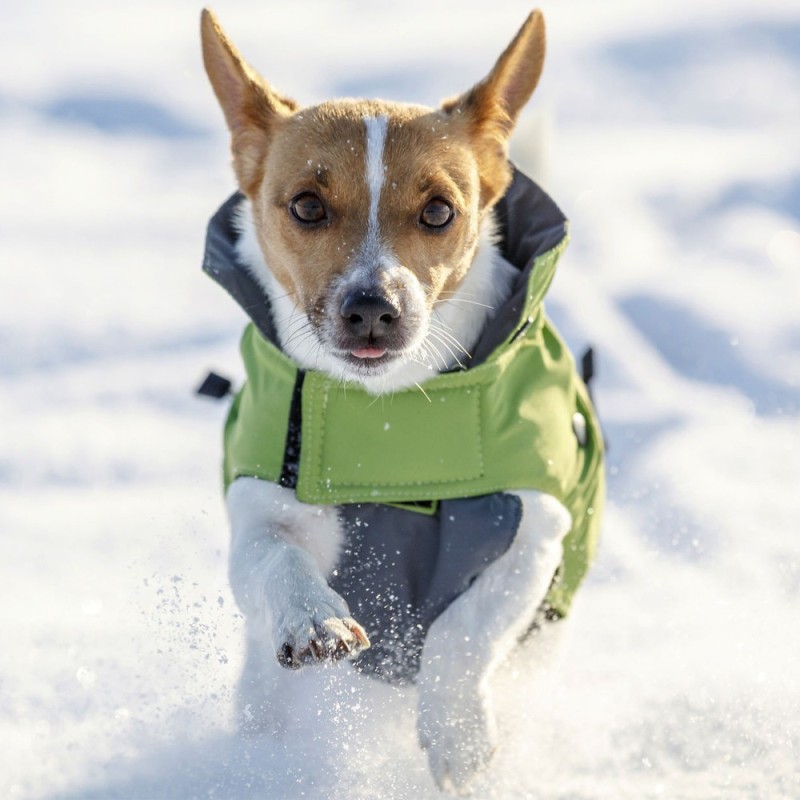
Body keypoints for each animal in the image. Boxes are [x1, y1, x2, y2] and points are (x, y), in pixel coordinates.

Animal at [202, 9, 608, 796]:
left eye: (440, 211)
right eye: (306, 205)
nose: (371, 309)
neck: (389, 418)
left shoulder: (535, 533)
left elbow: (463, 634)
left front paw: (457, 734)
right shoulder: (262, 509)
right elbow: (275, 564)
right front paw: (316, 623)